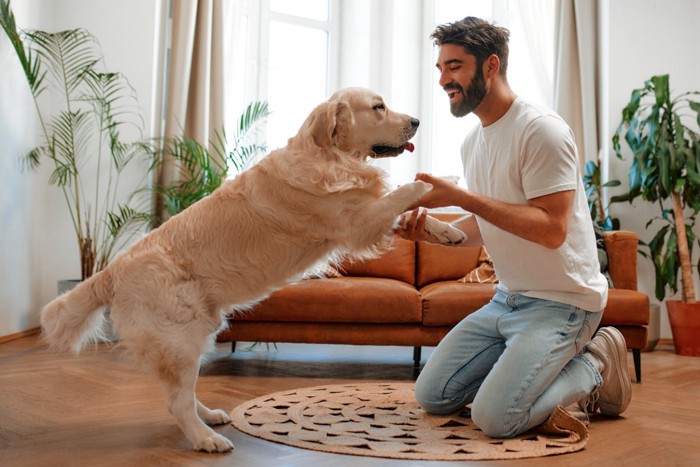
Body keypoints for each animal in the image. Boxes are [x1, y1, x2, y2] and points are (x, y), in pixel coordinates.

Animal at [37, 88, 464, 454]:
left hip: (195, 334)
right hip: (180, 334)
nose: (417, 121)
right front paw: (445, 180)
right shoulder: (356, 223)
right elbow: (407, 190)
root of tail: (112, 269)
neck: (329, 157)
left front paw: (448, 231)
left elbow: (410, 211)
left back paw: (210, 417)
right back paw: (206, 439)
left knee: (184, 393)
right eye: (378, 107)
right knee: (177, 401)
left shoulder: (365, 216)